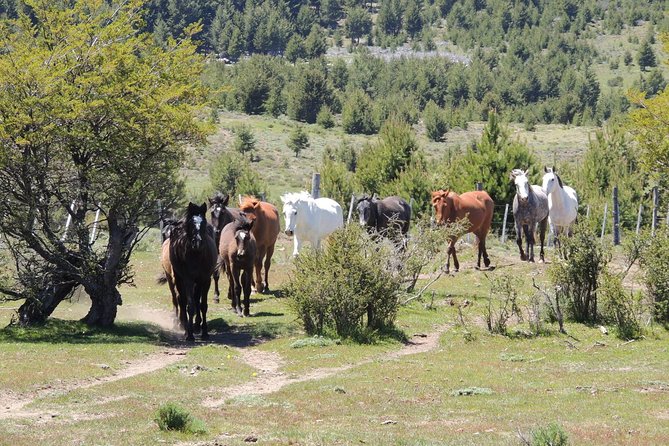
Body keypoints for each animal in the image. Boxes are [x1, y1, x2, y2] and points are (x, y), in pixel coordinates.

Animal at [159, 202, 217, 341]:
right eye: (191, 224)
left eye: (204, 222)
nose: (198, 243)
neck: (196, 255)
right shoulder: (188, 280)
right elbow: (189, 305)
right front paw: (189, 333)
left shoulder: (205, 280)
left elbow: (202, 305)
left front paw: (204, 332)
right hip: (175, 280)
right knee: (179, 300)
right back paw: (182, 324)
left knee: (193, 301)